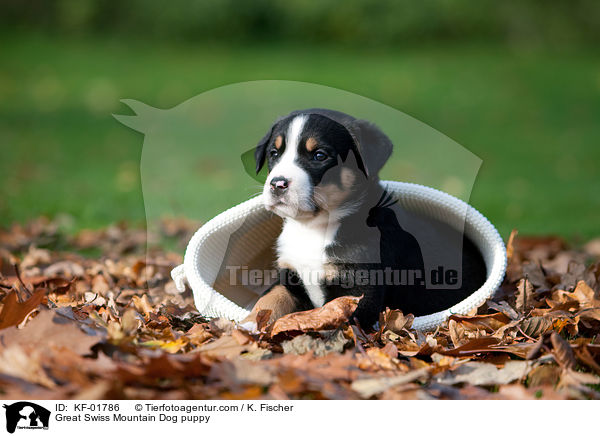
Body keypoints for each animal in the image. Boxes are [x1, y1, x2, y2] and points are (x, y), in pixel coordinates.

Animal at [240, 109, 488, 330]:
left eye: (319, 155)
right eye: (274, 153)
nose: (277, 184)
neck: (313, 227)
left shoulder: (358, 289)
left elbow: (327, 315)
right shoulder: (289, 276)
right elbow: (268, 299)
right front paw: (247, 326)